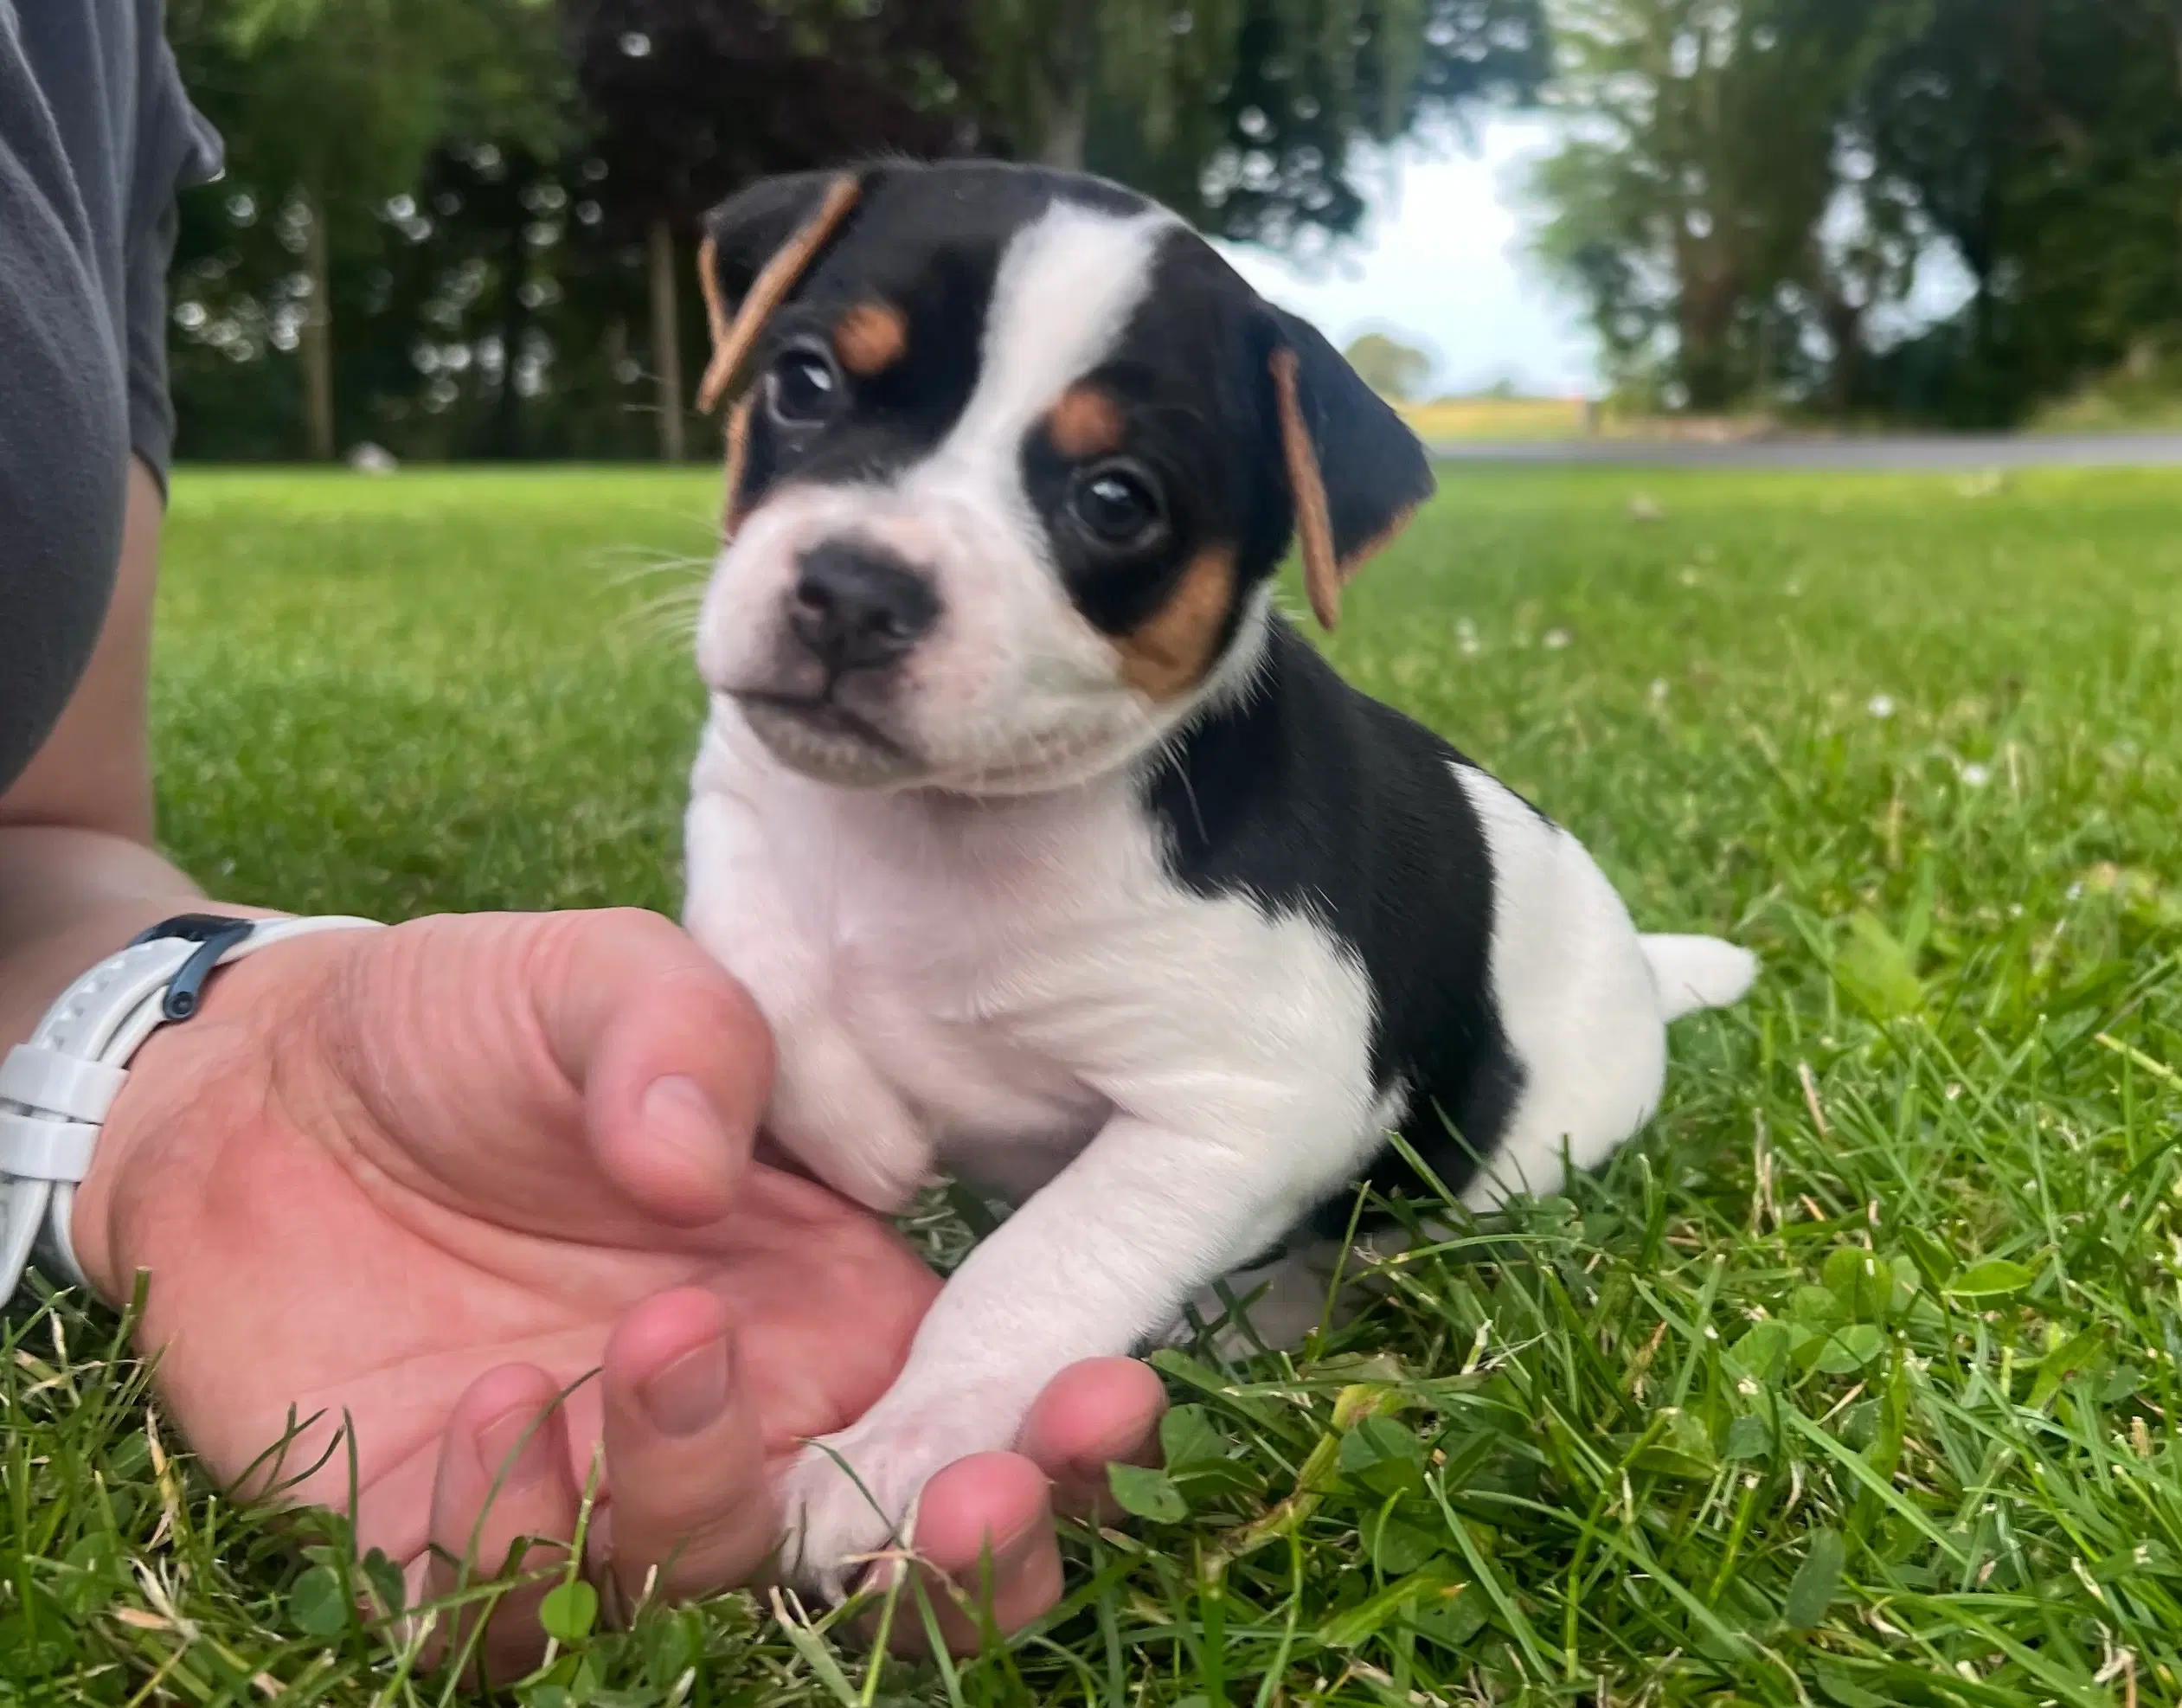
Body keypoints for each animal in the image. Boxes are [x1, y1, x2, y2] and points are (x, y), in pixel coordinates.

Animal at [680, 160, 1754, 1605]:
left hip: (1494, 1170)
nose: (851, 590)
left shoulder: (1235, 1115)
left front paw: (897, 1443)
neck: (940, 829)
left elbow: (1030, 1271)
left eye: (1116, 499)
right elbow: (753, 942)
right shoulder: (740, 797)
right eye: (801, 381)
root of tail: (1637, 962)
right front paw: (858, 1125)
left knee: (1357, 1260)